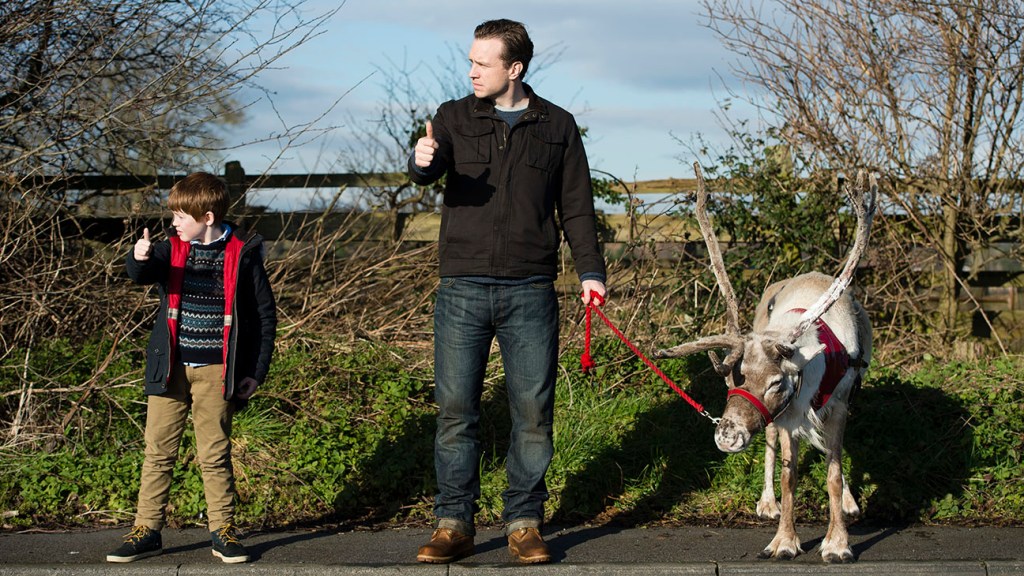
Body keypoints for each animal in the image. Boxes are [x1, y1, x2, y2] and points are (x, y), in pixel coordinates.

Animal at [655, 164, 877, 563]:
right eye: (737, 376)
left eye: (776, 382)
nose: (727, 435)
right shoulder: (788, 416)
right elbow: (790, 477)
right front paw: (784, 541)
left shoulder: (836, 403)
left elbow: (834, 472)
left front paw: (838, 544)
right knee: (773, 446)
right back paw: (767, 503)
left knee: (833, 452)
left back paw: (850, 503)